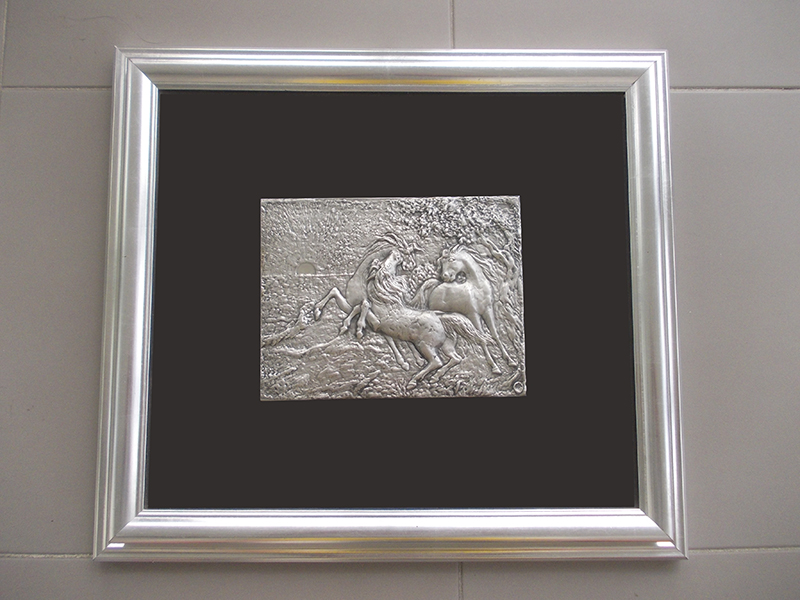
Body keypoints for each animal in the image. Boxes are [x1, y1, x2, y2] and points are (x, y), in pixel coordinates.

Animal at [366, 249, 486, 390]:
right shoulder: (383, 328)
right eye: (384, 261)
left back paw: (414, 381)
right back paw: (435, 377)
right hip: (446, 346)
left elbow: (362, 306)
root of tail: (441, 318)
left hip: (424, 345)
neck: (386, 300)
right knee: (456, 358)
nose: (395, 253)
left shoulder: (377, 322)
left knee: (437, 361)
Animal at [410, 244, 516, 375]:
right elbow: (481, 338)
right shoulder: (473, 314)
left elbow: (495, 334)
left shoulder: (488, 310)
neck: (477, 288)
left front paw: (511, 361)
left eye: (451, 260)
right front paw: (495, 367)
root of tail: (436, 285)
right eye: (442, 262)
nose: (445, 276)